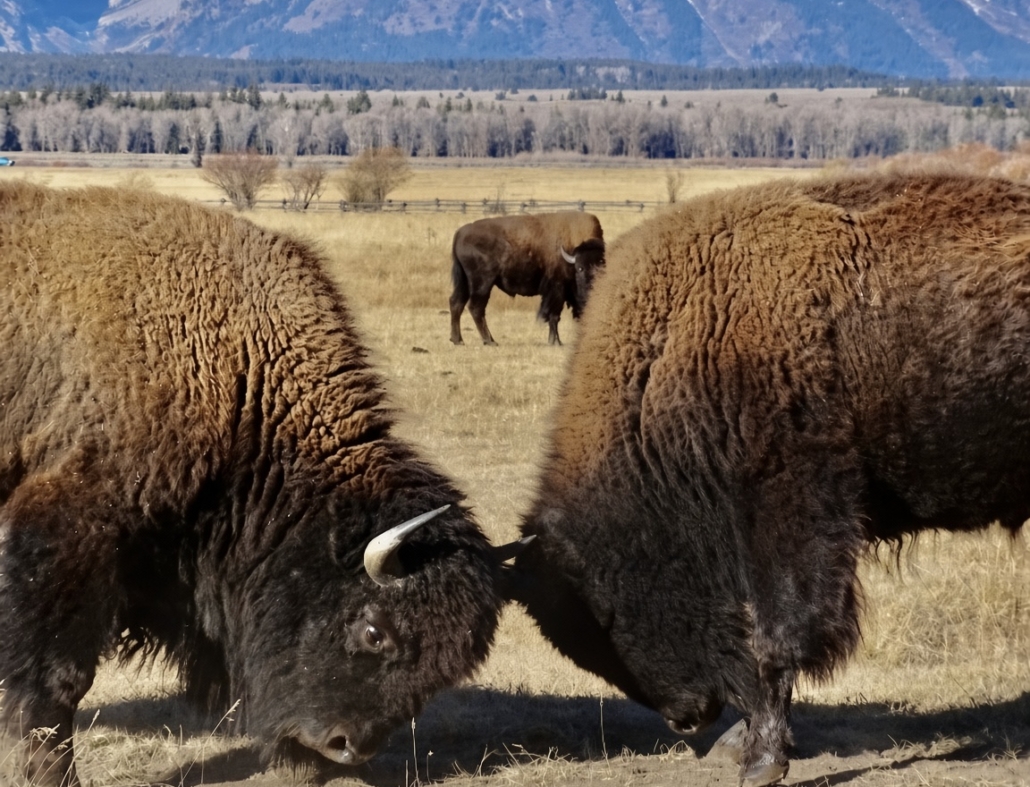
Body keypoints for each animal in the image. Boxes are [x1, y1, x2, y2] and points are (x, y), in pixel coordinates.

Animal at [0, 183, 520, 786]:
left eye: (446, 669)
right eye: (374, 632)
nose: (347, 747)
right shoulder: (69, 529)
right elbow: (59, 676)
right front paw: (46, 771)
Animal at [449, 211, 605, 346]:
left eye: (603, 267)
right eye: (580, 268)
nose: (593, 287)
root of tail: (461, 232)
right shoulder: (557, 291)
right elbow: (554, 316)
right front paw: (555, 342)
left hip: (465, 283)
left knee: (456, 303)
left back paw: (458, 340)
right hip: (482, 284)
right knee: (476, 307)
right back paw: (489, 341)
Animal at [510, 171, 1030, 786]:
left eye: (607, 611)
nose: (687, 719)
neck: (680, 334)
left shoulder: (790, 513)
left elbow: (777, 637)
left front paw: (763, 759)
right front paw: (744, 744)